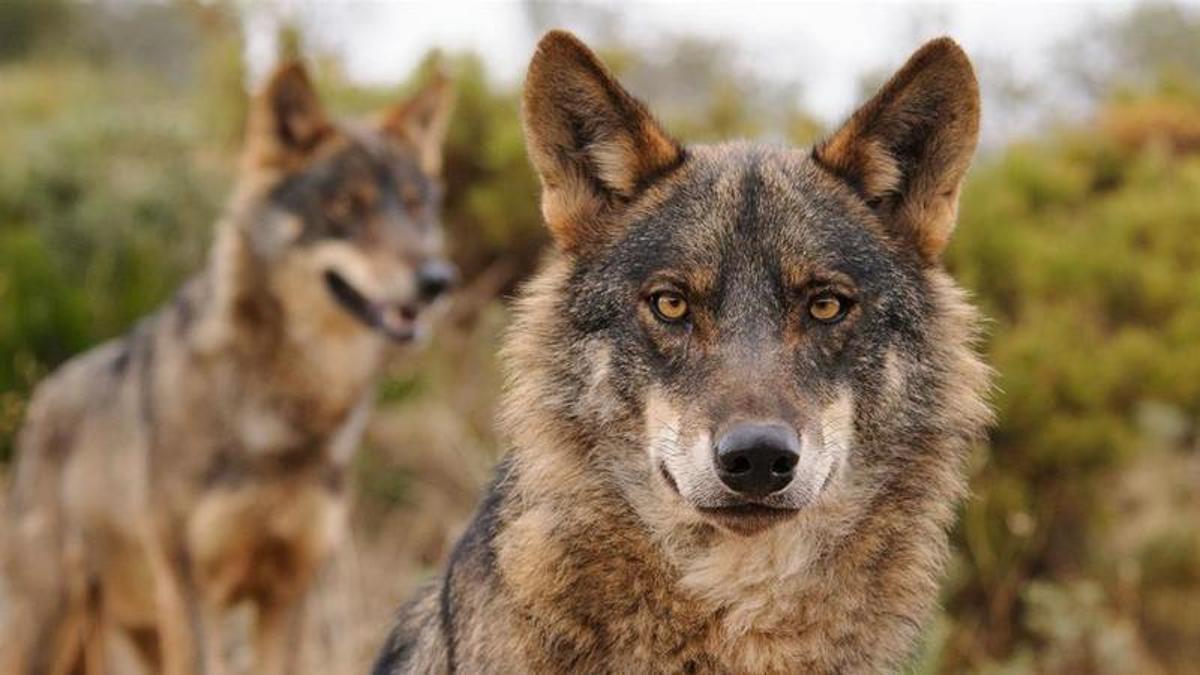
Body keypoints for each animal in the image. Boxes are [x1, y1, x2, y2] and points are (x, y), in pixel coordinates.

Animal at [1, 62, 454, 675]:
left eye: (415, 206)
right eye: (345, 207)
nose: (437, 280)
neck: (287, 418)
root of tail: (41, 396)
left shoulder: (289, 593)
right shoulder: (194, 593)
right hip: (56, 628)